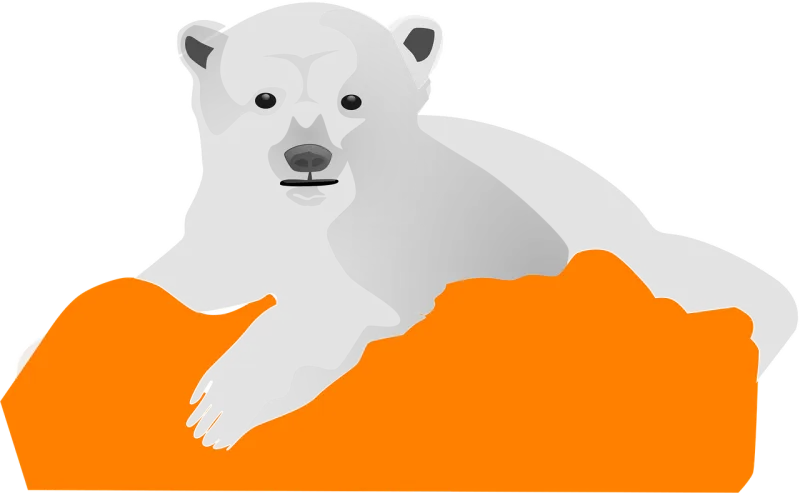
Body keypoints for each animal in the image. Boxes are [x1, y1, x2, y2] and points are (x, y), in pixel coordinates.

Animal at [18, 2, 793, 452]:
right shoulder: (237, 223)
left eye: (352, 98)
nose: (308, 156)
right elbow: (187, 278)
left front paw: (220, 402)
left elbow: (339, 306)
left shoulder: (397, 240)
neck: (311, 216)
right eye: (264, 97)